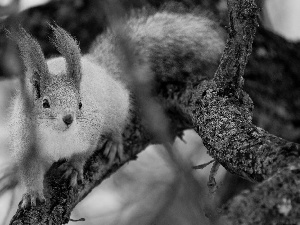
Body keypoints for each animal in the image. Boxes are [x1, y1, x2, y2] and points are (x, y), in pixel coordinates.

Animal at [6, 9, 225, 208]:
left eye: (80, 103)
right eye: (45, 103)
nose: (68, 118)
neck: (58, 136)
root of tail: (98, 66)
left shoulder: (91, 129)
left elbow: (84, 153)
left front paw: (74, 168)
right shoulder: (26, 143)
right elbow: (29, 171)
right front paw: (32, 193)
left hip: (117, 105)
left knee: (119, 122)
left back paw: (113, 141)